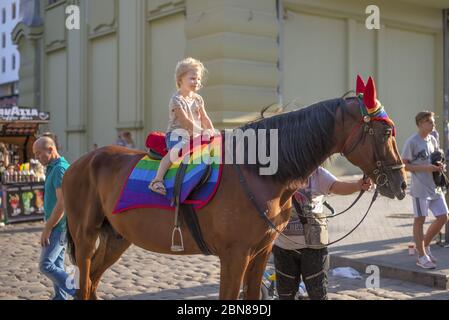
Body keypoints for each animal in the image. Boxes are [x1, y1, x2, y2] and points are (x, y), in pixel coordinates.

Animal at [62, 89, 406, 298]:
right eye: (387, 132)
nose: (400, 182)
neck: (258, 172)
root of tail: (78, 162)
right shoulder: (234, 255)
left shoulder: (261, 253)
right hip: (85, 235)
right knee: (84, 284)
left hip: (117, 238)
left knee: (92, 283)